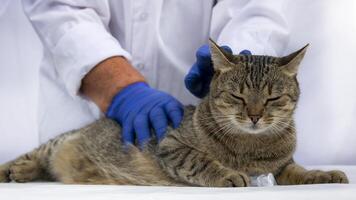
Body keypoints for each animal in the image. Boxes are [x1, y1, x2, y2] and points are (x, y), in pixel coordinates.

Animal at [0, 39, 348, 186]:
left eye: (273, 97)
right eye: (238, 96)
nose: (254, 115)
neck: (249, 147)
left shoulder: (282, 167)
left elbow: (300, 171)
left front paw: (324, 174)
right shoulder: (170, 144)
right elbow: (200, 160)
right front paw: (227, 174)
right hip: (57, 142)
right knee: (31, 155)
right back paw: (14, 169)